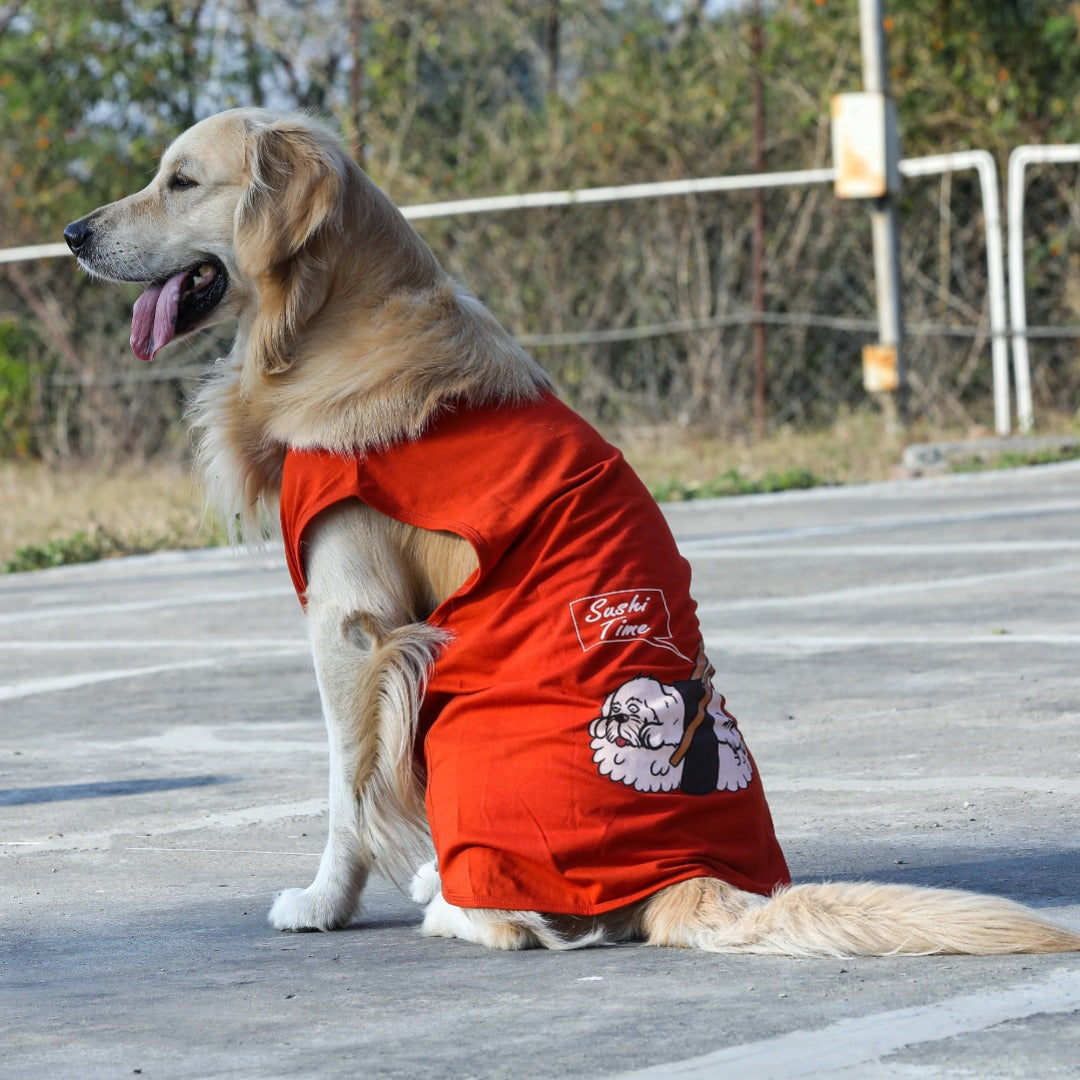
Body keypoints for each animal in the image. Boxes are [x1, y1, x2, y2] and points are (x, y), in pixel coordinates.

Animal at [65, 107, 1080, 954]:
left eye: (181, 181)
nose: (74, 234)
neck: (321, 322)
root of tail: (689, 876)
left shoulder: (353, 622)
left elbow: (347, 786)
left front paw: (322, 904)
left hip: (467, 714)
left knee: (518, 924)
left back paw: (448, 901)